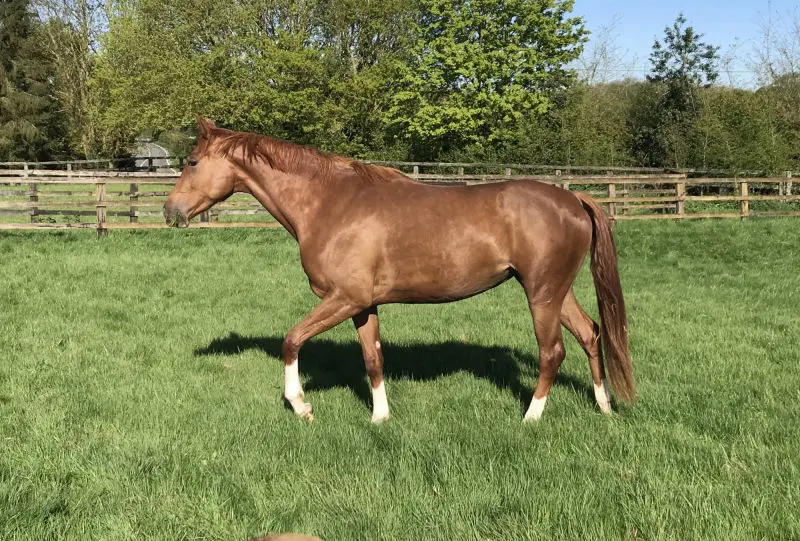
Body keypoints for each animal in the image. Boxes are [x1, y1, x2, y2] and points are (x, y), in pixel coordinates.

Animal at [164, 116, 635, 423]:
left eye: (191, 161)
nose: (170, 211)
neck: (331, 203)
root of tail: (572, 199)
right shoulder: (362, 305)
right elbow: (373, 359)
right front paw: (380, 418)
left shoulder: (343, 298)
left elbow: (291, 340)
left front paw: (301, 405)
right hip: (556, 292)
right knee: (591, 334)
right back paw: (604, 406)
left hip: (541, 294)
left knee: (552, 352)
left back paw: (531, 419)